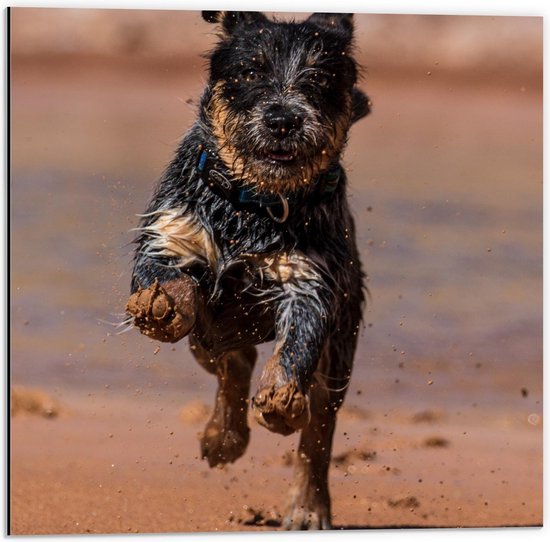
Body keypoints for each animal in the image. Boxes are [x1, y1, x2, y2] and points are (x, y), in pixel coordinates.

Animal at [126, 10, 370, 532]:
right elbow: (166, 278)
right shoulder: (171, 232)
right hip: (207, 342)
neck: (253, 204)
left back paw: (307, 505)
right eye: (250, 71)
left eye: (320, 78)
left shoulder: (310, 278)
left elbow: (298, 342)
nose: (283, 119)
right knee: (231, 363)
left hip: (342, 346)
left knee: (318, 429)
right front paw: (162, 304)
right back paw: (223, 438)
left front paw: (280, 396)